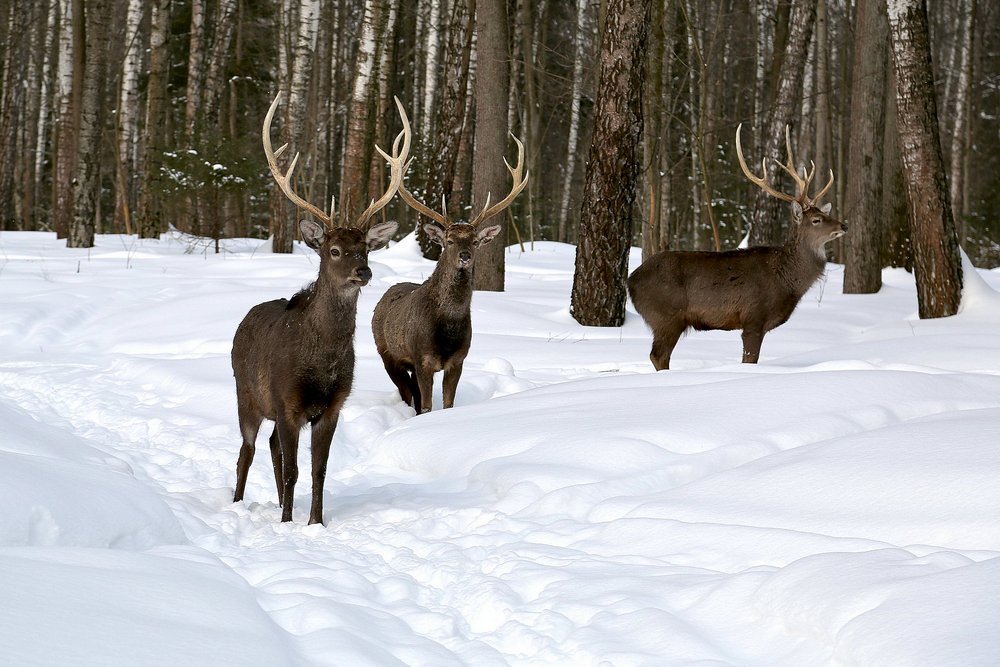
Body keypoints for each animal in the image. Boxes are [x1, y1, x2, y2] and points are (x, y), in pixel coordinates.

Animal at [230, 94, 406, 524]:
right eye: (335, 250)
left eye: (366, 248)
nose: (364, 271)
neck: (322, 361)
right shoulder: (286, 400)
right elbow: (294, 468)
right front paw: (287, 523)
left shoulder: (333, 406)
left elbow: (318, 469)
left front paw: (314, 522)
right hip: (246, 394)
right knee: (248, 449)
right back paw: (238, 502)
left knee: (272, 447)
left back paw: (279, 502)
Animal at [370, 105, 528, 412]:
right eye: (449, 241)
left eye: (476, 241)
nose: (465, 256)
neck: (448, 329)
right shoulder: (422, 360)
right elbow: (427, 405)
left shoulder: (458, 361)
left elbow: (448, 404)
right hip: (386, 353)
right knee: (407, 392)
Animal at [628, 124, 848, 370]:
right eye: (816, 220)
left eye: (825, 213)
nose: (844, 225)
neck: (786, 279)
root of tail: (630, 281)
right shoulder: (753, 317)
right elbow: (750, 359)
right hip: (667, 315)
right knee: (658, 355)